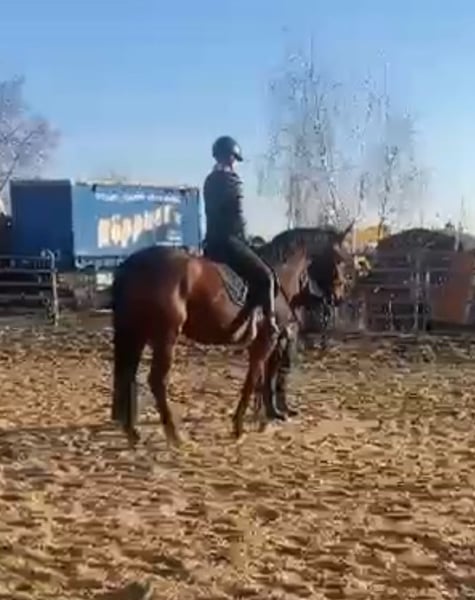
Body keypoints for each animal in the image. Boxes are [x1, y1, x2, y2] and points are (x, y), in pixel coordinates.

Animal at [110, 224, 354, 447]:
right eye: (340, 260)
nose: (339, 296)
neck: (280, 276)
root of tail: (132, 265)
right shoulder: (266, 342)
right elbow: (254, 379)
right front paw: (240, 426)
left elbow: (263, 379)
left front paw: (263, 418)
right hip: (165, 337)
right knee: (156, 381)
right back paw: (174, 435)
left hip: (135, 333)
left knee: (128, 375)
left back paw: (133, 433)